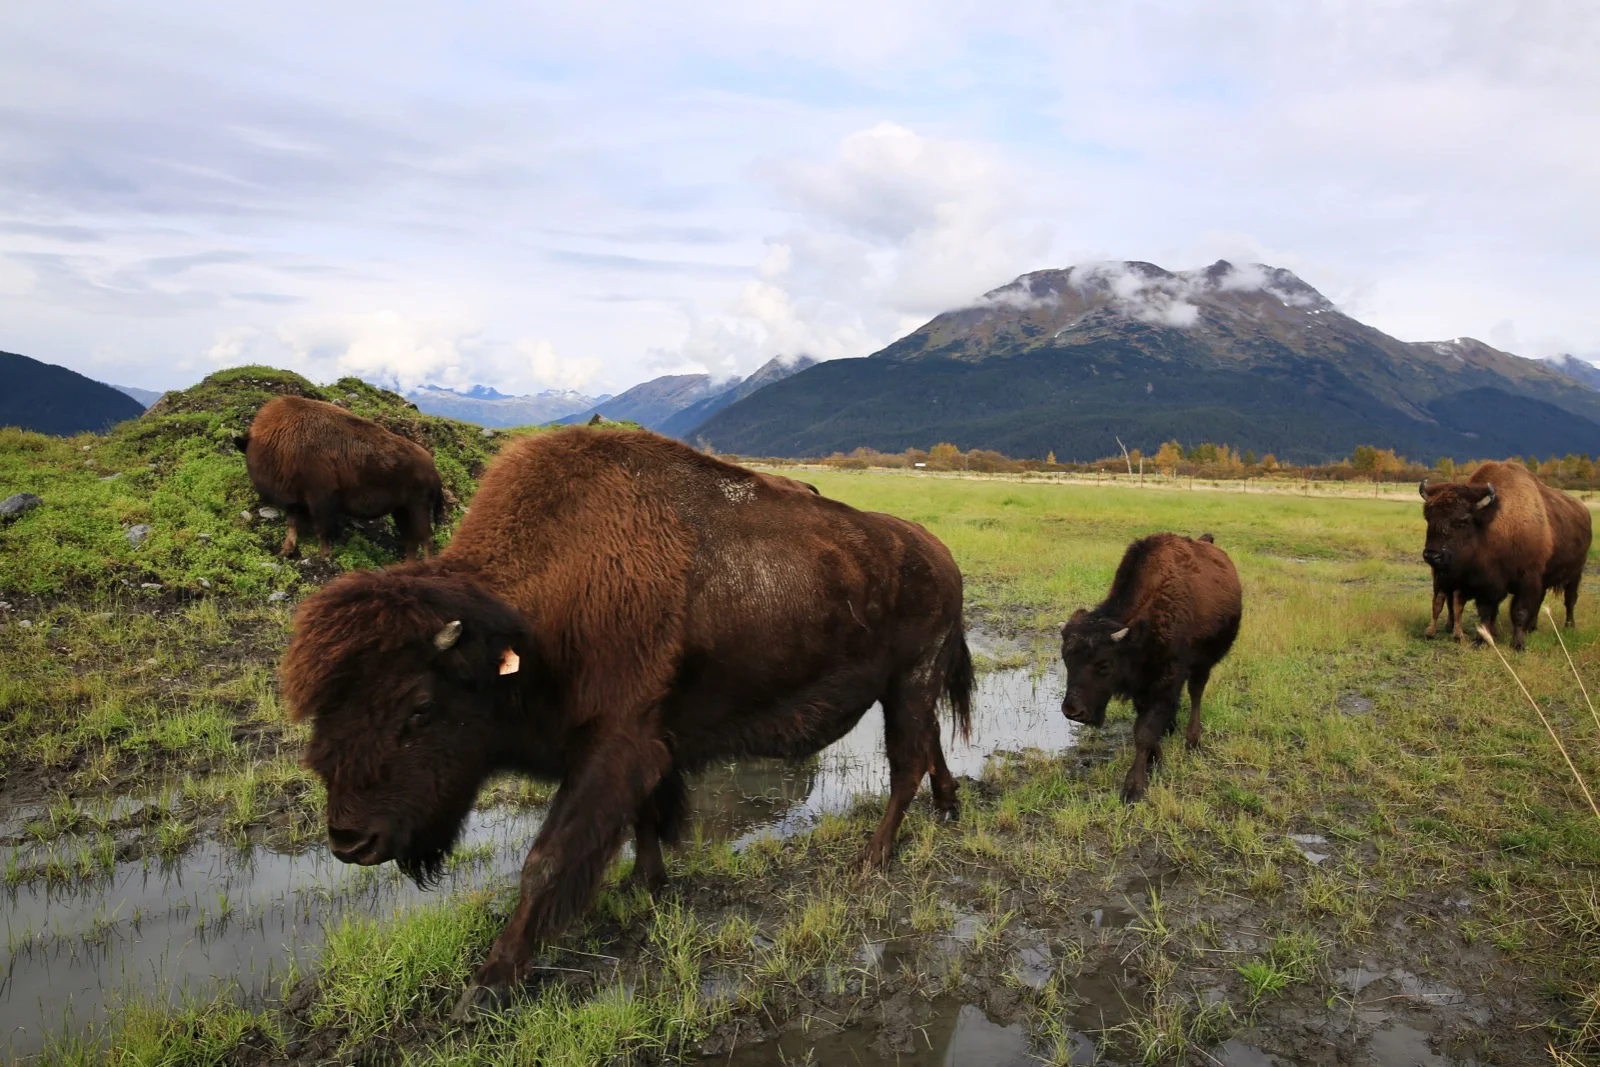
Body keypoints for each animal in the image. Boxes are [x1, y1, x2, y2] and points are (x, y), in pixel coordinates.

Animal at [235, 396, 444, 560]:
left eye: (250, 453)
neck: (279, 437)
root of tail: (433, 469)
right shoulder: (294, 501)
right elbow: (292, 524)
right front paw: (286, 551)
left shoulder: (319, 499)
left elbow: (321, 528)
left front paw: (325, 555)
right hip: (401, 511)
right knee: (411, 540)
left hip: (418, 508)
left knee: (426, 538)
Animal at [279, 427, 973, 1015]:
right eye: (320, 709)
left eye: (419, 707)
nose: (349, 841)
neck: (533, 617)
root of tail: (940, 553)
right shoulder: (644, 744)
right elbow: (643, 819)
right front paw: (645, 884)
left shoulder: (611, 748)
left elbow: (547, 861)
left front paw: (488, 986)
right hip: (909, 687)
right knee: (931, 746)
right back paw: (948, 807)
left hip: (910, 681)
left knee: (906, 764)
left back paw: (872, 861)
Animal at [1059, 532, 1242, 803]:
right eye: (1066, 659)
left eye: (1104, 664)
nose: (1073, 711)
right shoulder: (1142, 686)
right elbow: (1145, 725)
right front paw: (1156, 760)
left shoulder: (1166, 679)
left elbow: (1144, 731)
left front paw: (1133, 789)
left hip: (1203, 663)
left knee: (1196, 693)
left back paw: (1192, 740)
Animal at [1420, 461, 1592, 650]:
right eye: (1428, 517)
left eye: (1463, 520)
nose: (1432, 555)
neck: (1492, 524)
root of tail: (1584, 511)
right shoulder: (1486, 583)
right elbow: (1486, 611)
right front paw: (1482, 641)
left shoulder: (1527, 578)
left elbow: (1520, 611)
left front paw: (1517, 645)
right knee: (1541, 601)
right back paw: (1532, 627)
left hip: (1575, 573)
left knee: (1570, 600)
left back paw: (1569, 627)